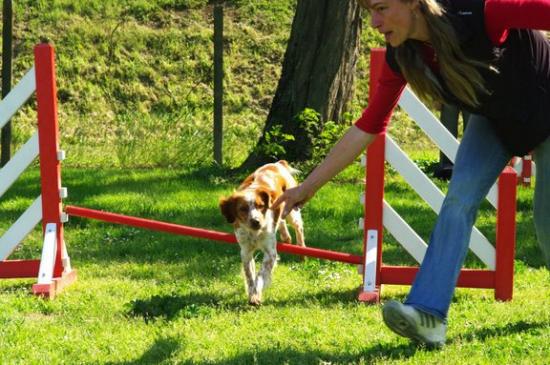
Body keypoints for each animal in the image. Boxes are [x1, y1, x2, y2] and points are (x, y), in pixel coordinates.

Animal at [220, 160, 306, 304]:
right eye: (243, 209)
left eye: (260, 206)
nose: (256, 221)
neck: (254, 233)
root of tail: (278, 163)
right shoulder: (246, 251)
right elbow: (250, 276)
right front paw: (252, 295)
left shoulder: (270, 252)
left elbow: (261, 274)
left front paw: (257, 294)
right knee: (282, 223)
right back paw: (285, 236)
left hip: (292, 210)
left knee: (299, 228)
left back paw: (302, 252)